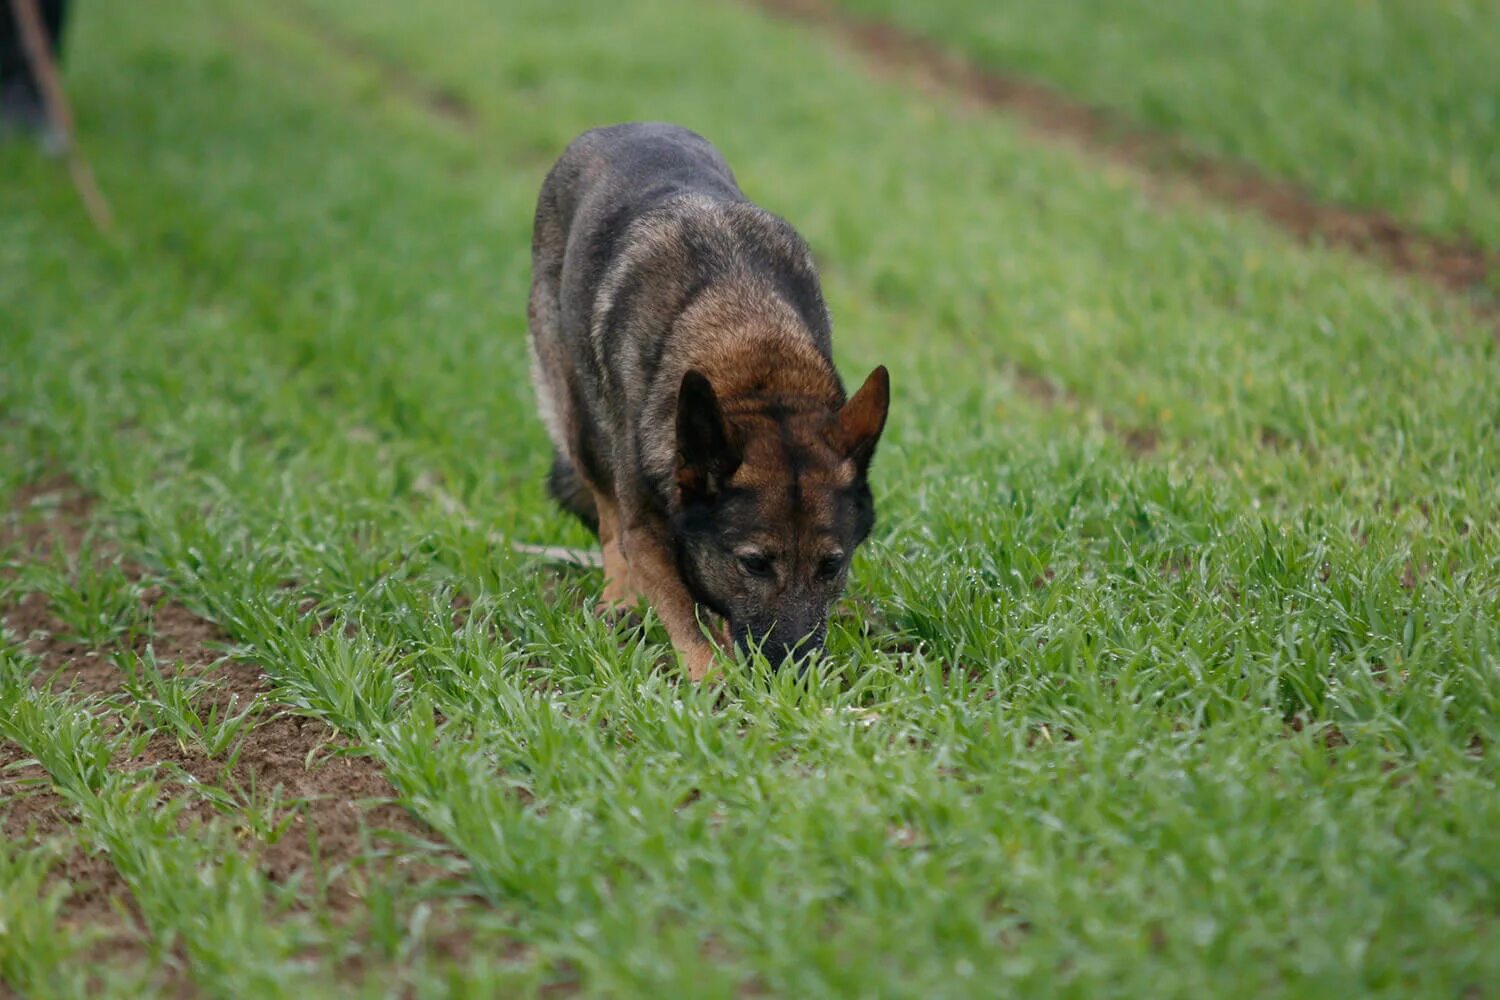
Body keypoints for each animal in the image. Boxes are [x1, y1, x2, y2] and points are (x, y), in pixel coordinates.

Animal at [528, 121, 882, 677]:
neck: (754, 359)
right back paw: (618, 601)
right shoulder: (646, 526)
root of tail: (618, 128)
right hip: (580, 424)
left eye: (832, 565)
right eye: (754, 563)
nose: (797, 673)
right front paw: (709, 676)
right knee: (606, 515)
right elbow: (677, 602)